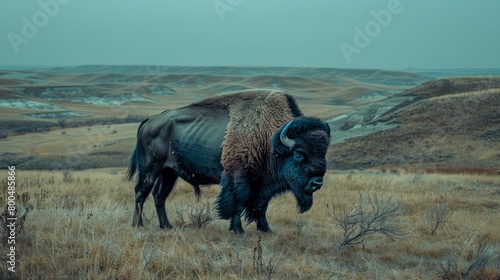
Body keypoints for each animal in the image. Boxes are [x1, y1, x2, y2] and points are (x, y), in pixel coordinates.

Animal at [127, 89, 330, 232]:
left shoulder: (263, 185)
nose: (317, 183)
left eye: (324, 152)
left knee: (159, 195)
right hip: (149, 169)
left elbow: (262, 206)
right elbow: (238, 202)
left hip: (169, 173)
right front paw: (237, 229)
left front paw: (265, 229)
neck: (268, 138)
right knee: (141, 193)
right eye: (299, 154)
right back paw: (138, 224)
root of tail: (150, 120)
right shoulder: (239, 177)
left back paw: (166, 226)